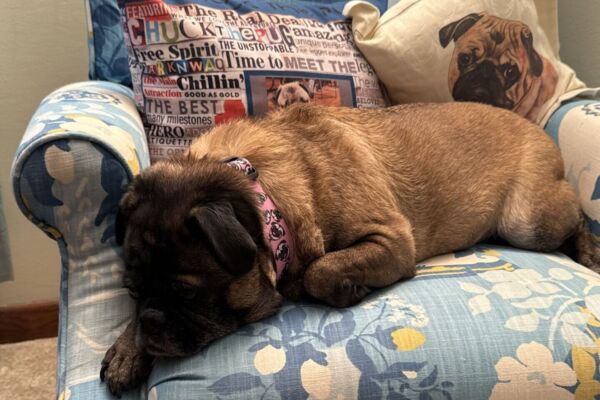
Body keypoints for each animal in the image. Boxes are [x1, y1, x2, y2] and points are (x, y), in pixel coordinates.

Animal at [101, 101, 596, 396]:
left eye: (187, 292)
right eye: (132, 292)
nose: (152, 321)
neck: (259, 192)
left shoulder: (392, 240)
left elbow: (320, 270)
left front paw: (343, 288)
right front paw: (129, 347)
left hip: (528, 222)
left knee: (572, 212)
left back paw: (587, 248)